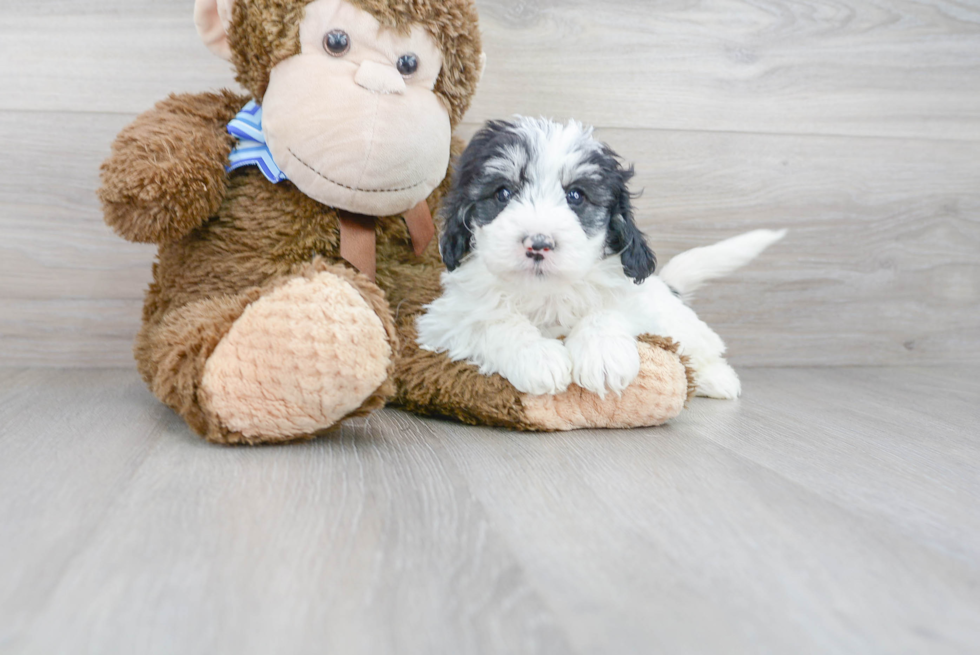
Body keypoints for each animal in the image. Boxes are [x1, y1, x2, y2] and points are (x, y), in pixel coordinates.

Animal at [418, 118, 784, 400]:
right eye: (503, 193)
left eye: (576, 196)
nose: (539, 244)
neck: (546, 292)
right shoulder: (446, 319)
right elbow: (493, 320)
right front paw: (537, 356)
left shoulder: (634, 298)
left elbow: (607, 311)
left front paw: (604, 356)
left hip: (675, 320)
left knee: (700, 345)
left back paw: (716, 378)